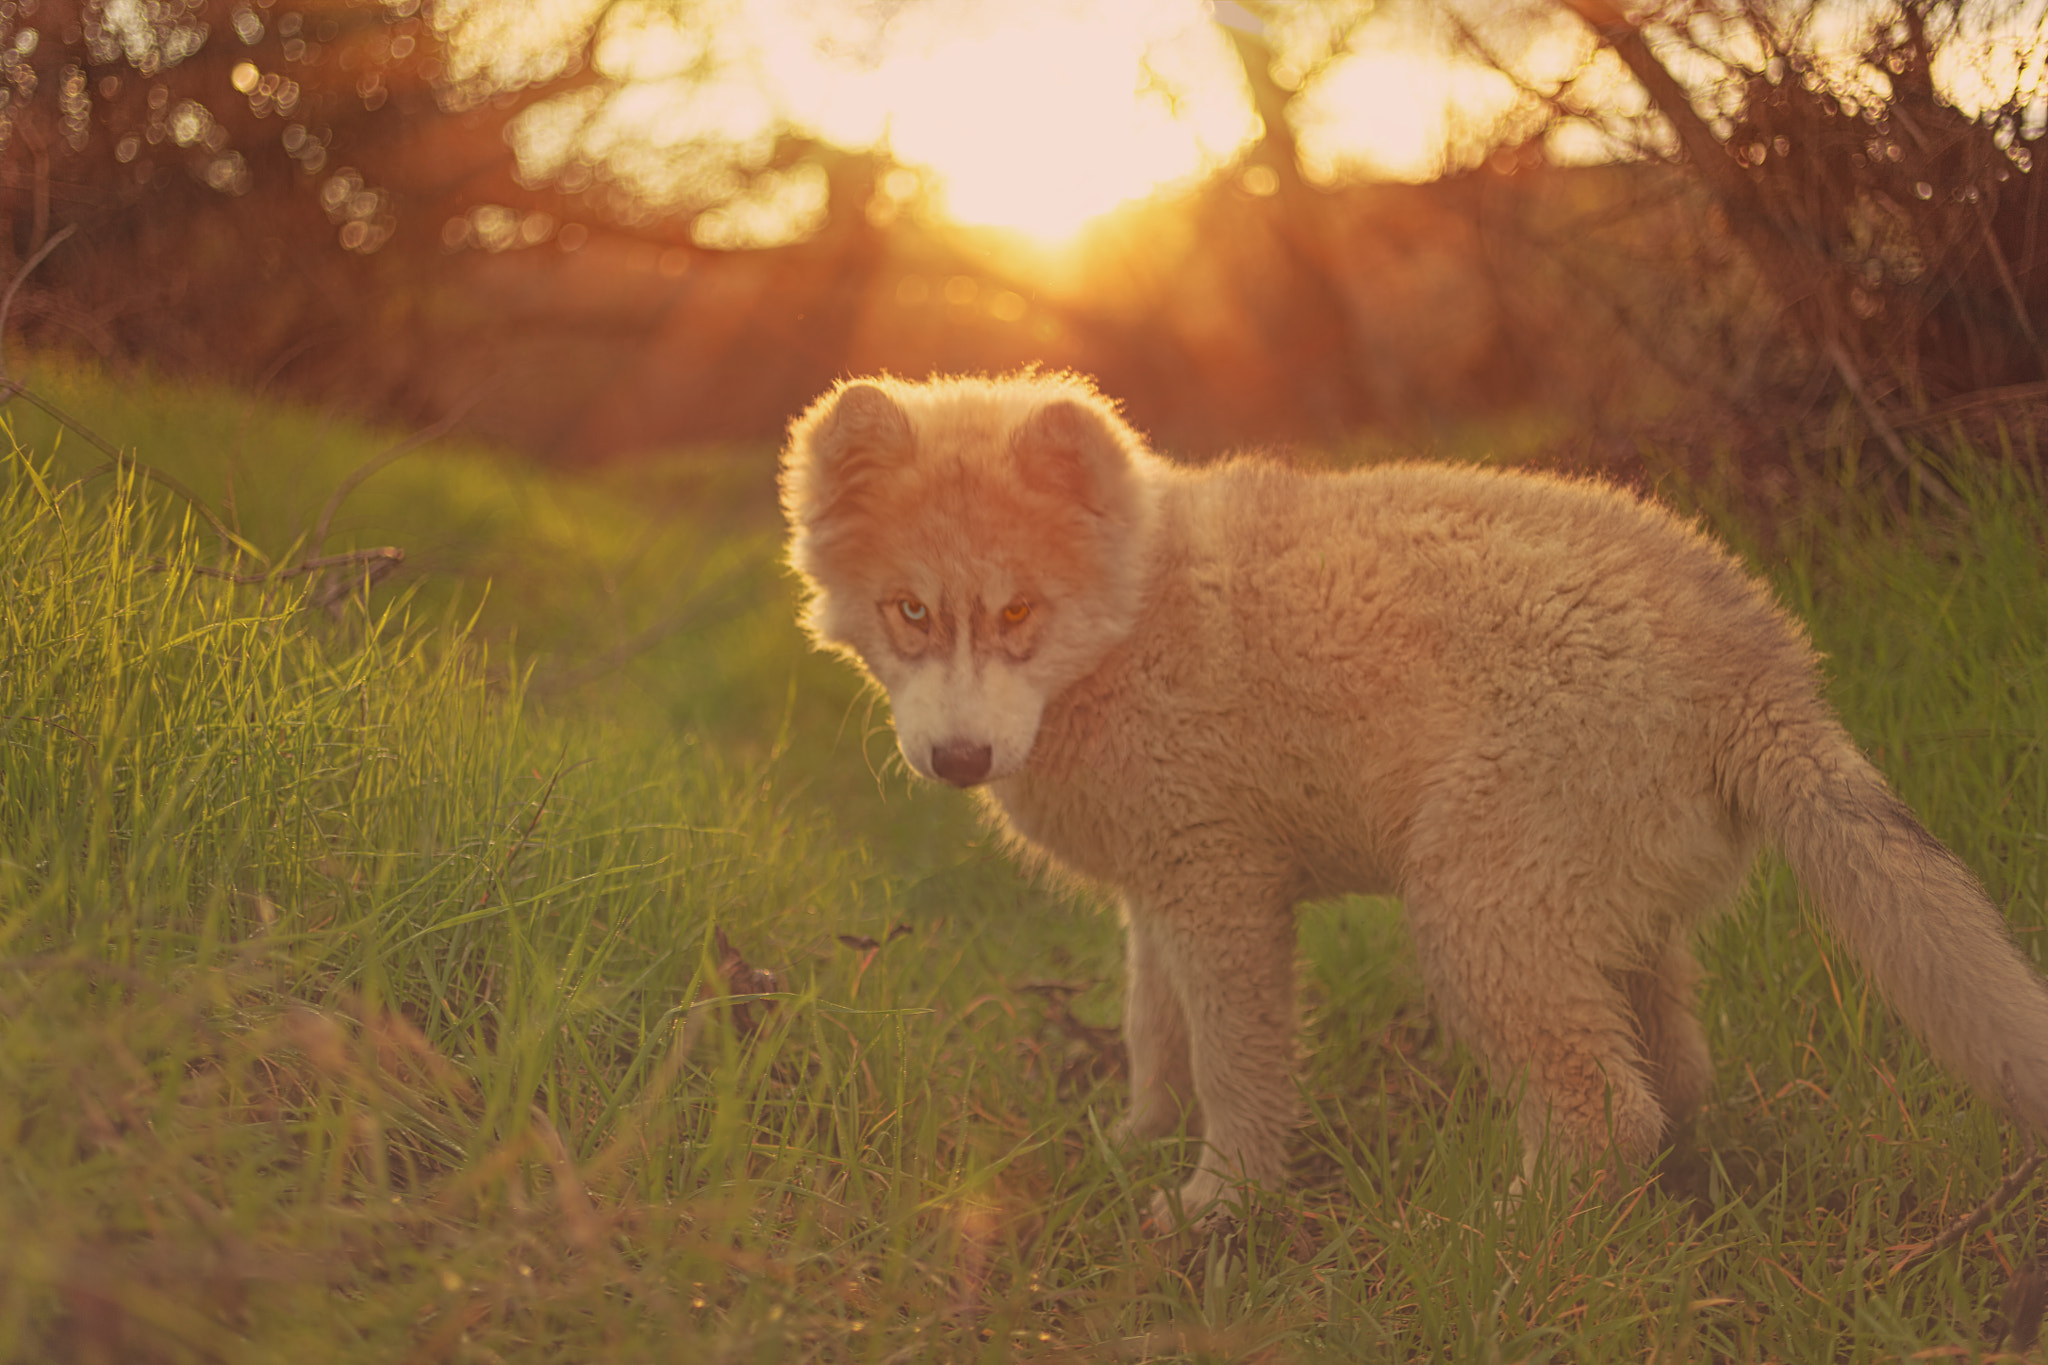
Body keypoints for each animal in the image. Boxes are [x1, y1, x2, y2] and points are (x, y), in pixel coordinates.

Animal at [778, 370, 2048, 1219]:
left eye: (1015, 612)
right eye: (908, 611)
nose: (957, 761)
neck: (1134, 612)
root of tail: (1756, 654)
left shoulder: (1220, 889)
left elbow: (1235, 1061)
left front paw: (1218, 1205)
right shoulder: (1159, 894)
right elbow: (1153, 1032)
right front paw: (1136, 1143)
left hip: (1475, 911)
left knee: (1602, 1110)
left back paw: (1504, 1235)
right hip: (1603, 922)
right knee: (1669, 1084)